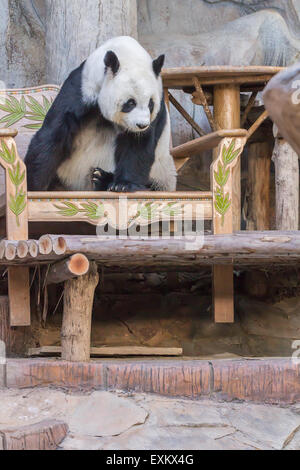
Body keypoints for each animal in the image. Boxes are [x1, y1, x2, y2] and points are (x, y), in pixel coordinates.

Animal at [25, 35, 177, 193]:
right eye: (130, 103)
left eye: (150, 104)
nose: (141, 125)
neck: (125, 53)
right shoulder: (82, 88)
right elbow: (54, 133)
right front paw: (33, 184)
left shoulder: (157, 103)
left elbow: (138, 145)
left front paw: (123, 184)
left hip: (162, 175)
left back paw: (102, 178)